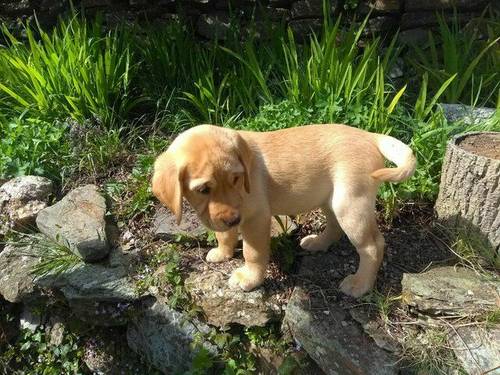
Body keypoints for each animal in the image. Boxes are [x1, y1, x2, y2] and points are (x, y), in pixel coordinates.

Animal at [151, 125, 414, 298]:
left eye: (236, 179)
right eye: (204, 189)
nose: (234, 219)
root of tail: (369, 135)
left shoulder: (256, 219)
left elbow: (253, 253)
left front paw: (249, 279)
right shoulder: (227, 218)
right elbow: (224, 233)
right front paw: (223, 252)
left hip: (349, 204)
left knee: (373, 246)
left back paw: (360, 284)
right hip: (330, 200)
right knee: (335, 227)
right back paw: (318, 243)